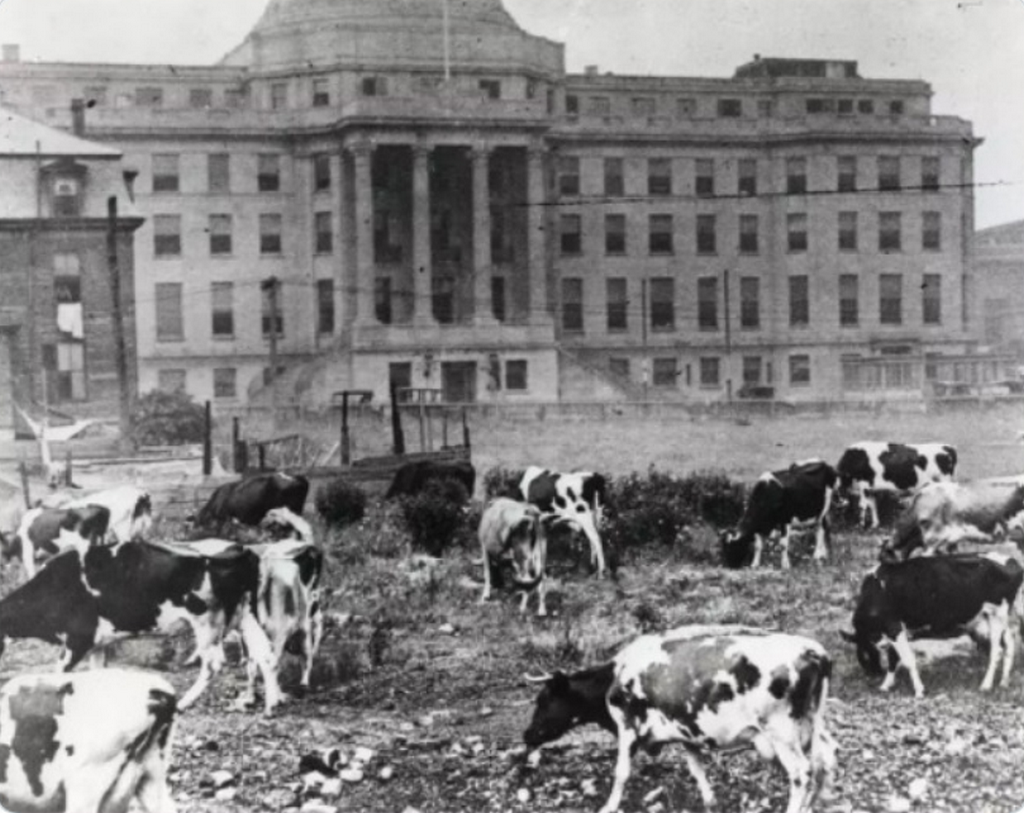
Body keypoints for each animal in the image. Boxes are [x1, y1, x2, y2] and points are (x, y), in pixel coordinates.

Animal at [0, 536, 282, 708]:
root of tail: (240, 549)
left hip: (208, 622)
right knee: (264, 653)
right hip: (246, 616)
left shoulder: (78, 639)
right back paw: (269, 702)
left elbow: (58, 674)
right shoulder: (97, 643)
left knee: (214, 663)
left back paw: (184, 702)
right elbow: (97, 673)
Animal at [524, 622, 835, 810]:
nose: (526, 735)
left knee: (801, 772)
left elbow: (621, 772)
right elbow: (696, 769)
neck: (615, 676)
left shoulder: (627, 726)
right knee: (824, 761)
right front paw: (710, 800)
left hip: (782, 733)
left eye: (543, 699)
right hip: (812, 725)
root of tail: (812, 650)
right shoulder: (687, 729)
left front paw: (609, 805)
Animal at [839, 552, 1024, 696]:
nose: (874, 674)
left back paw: (985, 686)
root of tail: (1012, 561)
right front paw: (886, 685)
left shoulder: (893, 627)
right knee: (1009, 645)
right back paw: (1004, 682)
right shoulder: (895, 630)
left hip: (997, 615)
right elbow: (893, 658)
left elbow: (907, 659)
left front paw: (919, 690)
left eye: (864, 654)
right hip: (998, 619)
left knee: (997, 651)